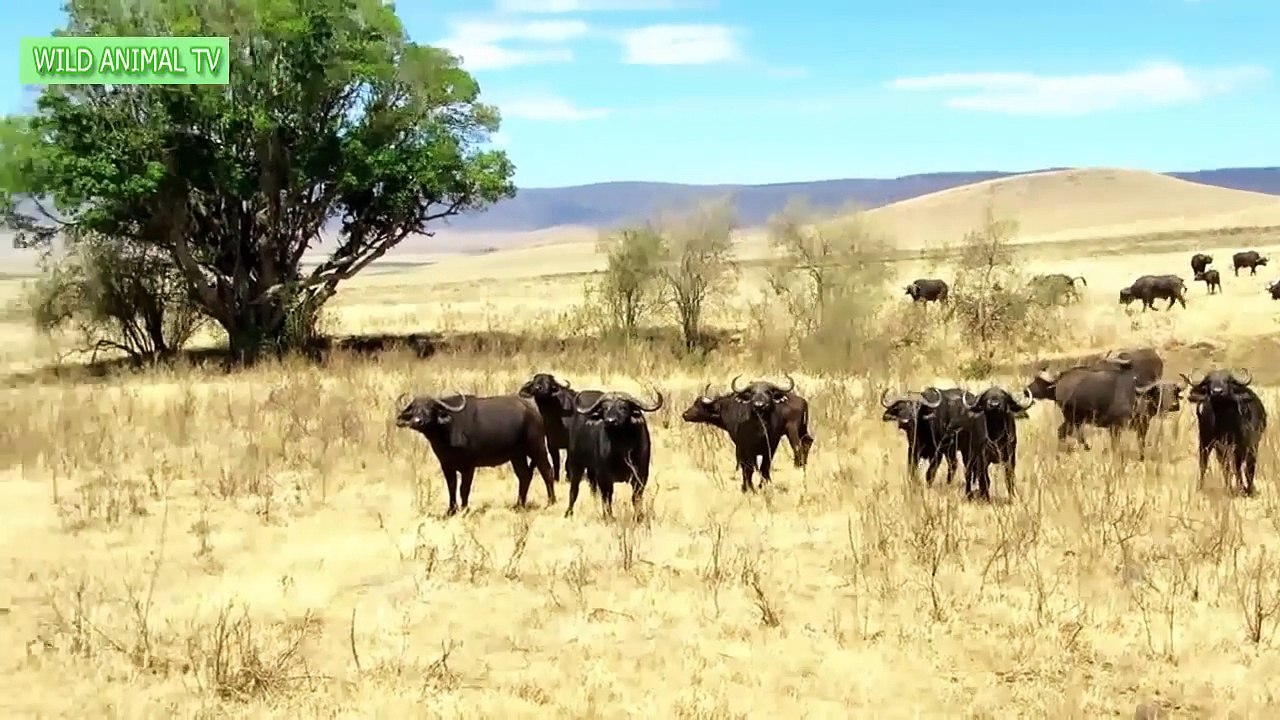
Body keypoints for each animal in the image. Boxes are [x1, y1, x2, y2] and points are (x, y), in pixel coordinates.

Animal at [396, 392, 556, 516]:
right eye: (414, 408)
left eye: (430, 407)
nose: (417, 421)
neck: (447, 430)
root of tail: (534, 411)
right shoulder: (446, 465)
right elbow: (452, 487)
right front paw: (451, 510)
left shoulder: (469, 466)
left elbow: (463, 489)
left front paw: (464, 509)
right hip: (517, 455)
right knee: (524, 476)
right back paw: (518, 505)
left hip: (537, 447)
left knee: (547, 471)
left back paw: (551, 502)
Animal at [564, 390, 663, 519]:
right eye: (605, 408)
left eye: (623, 407)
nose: (610, 421)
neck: (621, 449)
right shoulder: (604, 475)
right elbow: (607, 497)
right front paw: (609, 517)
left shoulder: (641, 474)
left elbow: (636, 496)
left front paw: (639, 517)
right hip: (576, 463)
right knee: (574, 489)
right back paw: (569, 512)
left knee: (593, 488)